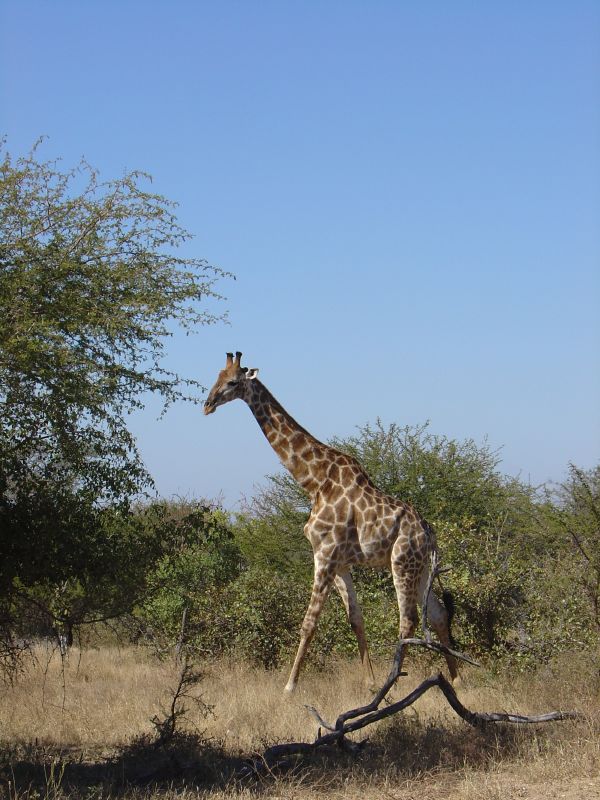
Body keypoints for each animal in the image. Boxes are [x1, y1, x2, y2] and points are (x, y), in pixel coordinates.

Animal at [204, 352, 458, 692]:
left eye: (232, 382)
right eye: (216, 377)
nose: (207, 405)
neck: (314, 481)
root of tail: (430, 534)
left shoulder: (324, 555)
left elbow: (309, 622)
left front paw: (289, 687)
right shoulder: (339, 562)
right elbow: (356, 619)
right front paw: (369, 681)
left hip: (402, 562)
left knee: (409, 621)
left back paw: (394, 681)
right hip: (422, 569)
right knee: (439, 614)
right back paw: (457, 679)